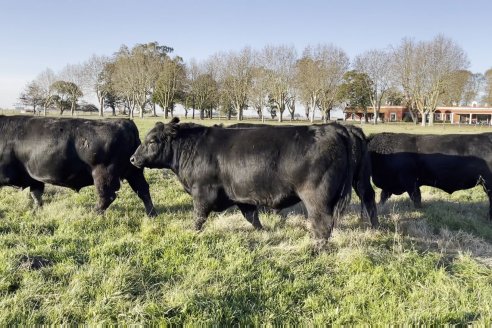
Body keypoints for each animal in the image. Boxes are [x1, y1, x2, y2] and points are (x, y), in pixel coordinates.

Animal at [0, 114, 156, 217]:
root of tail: (125, 122)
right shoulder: (34, 177)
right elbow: (36, 194)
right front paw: (36, 211)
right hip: (133, 171)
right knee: (143, 190)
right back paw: (151, 214)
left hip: (103, 174)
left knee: (107, 196)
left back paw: (93, 214)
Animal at [129, 117, 356, 238]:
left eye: (152, 140)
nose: (132, 158)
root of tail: (330, 127)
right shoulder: (242, 196)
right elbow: (252, 217)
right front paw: (263, 233)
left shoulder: (202, 192)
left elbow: (199, 216)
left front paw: (193, 233)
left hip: (317, 198)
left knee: (322, 224)